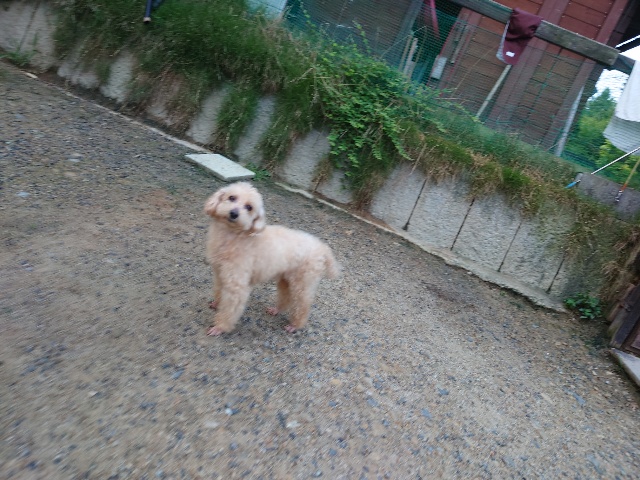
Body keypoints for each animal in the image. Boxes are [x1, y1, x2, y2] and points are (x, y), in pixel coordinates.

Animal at [203, 182, 340, 335]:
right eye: (232, 197)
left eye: (249, 207)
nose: (234, 213)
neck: (232, 236)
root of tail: (322, 247)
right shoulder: (220, 273)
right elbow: (219, 290)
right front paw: (217, 303)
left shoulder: (237, 286)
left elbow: (229, 309)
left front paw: (219, 327)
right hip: (286, 279)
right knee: (286, 297)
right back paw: (276, 310)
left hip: (303, 283)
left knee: (303, 306)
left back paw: (295, 325)